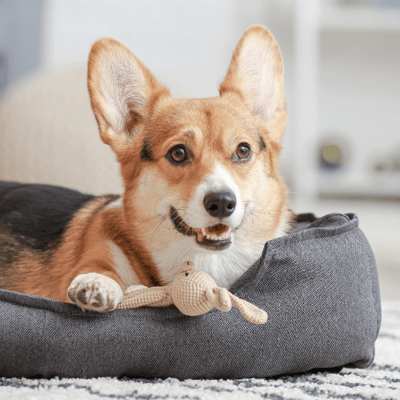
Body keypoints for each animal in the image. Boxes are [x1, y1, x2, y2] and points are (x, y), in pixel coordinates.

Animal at [0, 25, 290, 312]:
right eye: (178, 153)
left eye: (243, 151)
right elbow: (100, 269)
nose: (221, 203)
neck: (200, 260)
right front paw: (97, 282)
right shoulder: (100, 251)